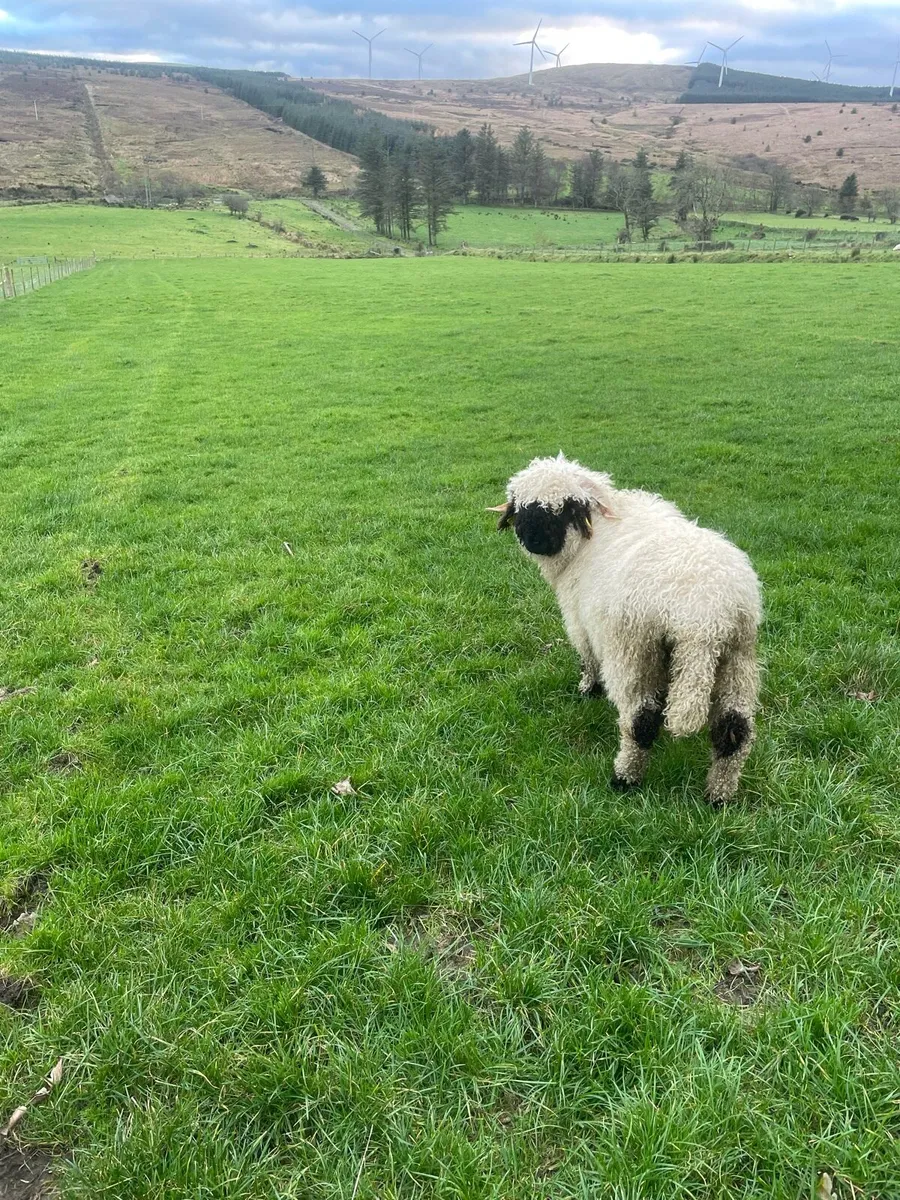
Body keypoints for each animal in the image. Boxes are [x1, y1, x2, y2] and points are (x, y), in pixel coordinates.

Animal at [490, 454, 762, 805]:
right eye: (522, 508)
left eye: (566, 509)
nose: (534, 540)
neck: (591, 537)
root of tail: (703, 615)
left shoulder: (579, 622)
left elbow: (587, 658)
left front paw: (588, 689)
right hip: (738, 657)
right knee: (734, 730)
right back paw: (719, 796)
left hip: (634, 651)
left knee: (640, 721)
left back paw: (625, 777)